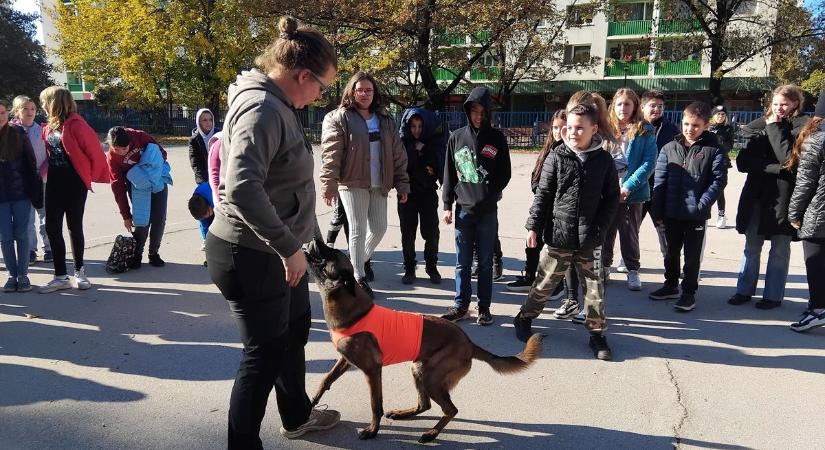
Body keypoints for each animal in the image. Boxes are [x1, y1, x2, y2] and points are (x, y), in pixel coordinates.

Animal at [306, 237, 544, 444]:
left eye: (331, 252)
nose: (315, 238)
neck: (352, 308)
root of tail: (468, 342)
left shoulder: (372, 371)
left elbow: (375, 404)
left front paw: (373, 430)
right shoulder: (345, 361)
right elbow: (325, 380)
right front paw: (312, 402)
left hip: (430, 377)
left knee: (450, 409)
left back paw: (431, 434)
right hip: (419, 370)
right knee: (425, 404)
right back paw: (404, 414)